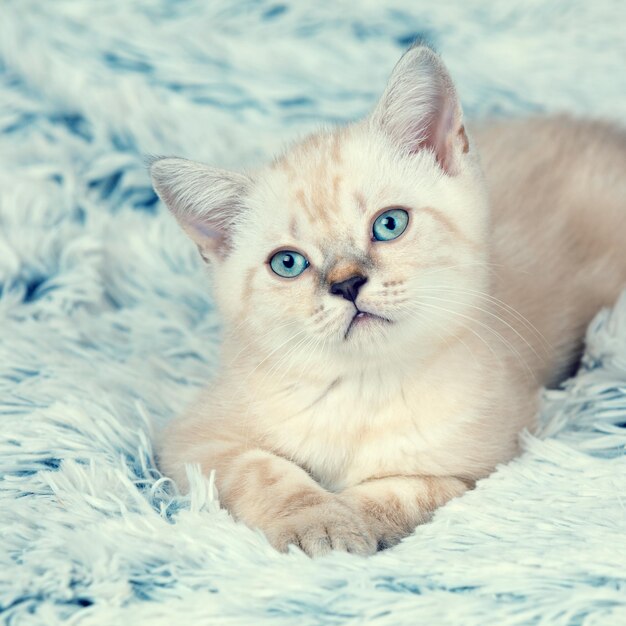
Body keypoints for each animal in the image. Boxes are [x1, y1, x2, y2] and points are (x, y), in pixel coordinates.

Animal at [150, 44, 624, 552]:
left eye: (389, 224)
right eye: (288, 264)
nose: (346, 284)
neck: (364, 389)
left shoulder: (486, 466)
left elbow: (401, 492)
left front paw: (348, 522)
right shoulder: (193, 442)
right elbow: (264, 471)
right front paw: (317, 521)